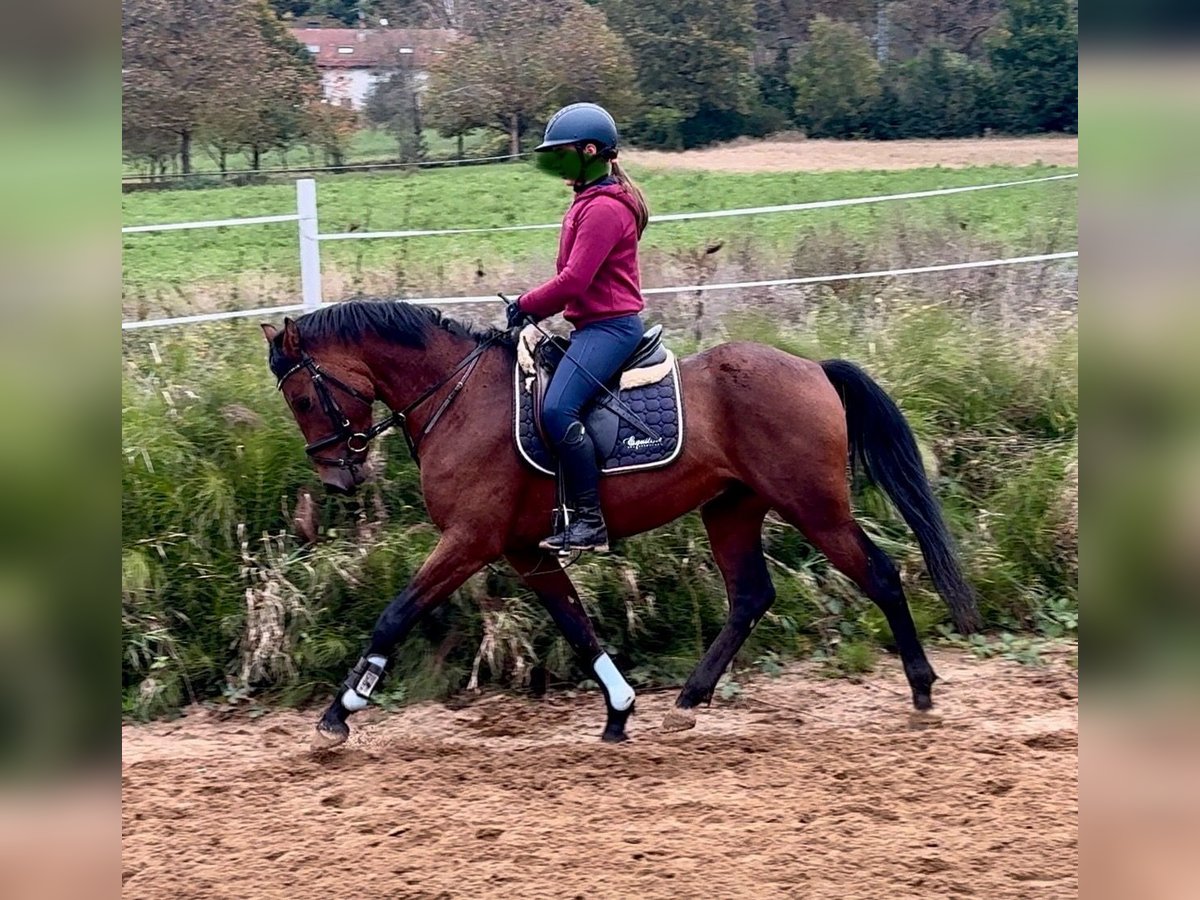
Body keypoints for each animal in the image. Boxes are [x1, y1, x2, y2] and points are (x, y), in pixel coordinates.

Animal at [260, 300, 974, 748]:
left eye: (302, 397)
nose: (337, 478)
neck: (457, 396)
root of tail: (812, 367)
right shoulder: (524, 550)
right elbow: (577, 627)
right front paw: (619, 711)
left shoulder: (470, 541)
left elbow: (396, 614)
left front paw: (340, 713)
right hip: (731, 509)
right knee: (751, 596)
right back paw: (688, 702)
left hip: (815, 507)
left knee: (880, 574)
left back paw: (921, 690)